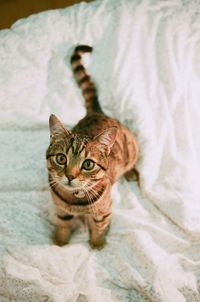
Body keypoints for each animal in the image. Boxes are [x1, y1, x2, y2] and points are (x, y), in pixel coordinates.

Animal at [46, 44, 138, 248]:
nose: (70, 176)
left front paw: (97, 243)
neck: (75, 201)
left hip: (132, 147)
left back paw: (131, 172)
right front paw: (61, 240)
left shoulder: (104, 211)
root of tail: (96, 113)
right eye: (61, 158)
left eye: (88, 164)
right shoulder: (61, 209)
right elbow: (63, 224)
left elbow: (99, 226)